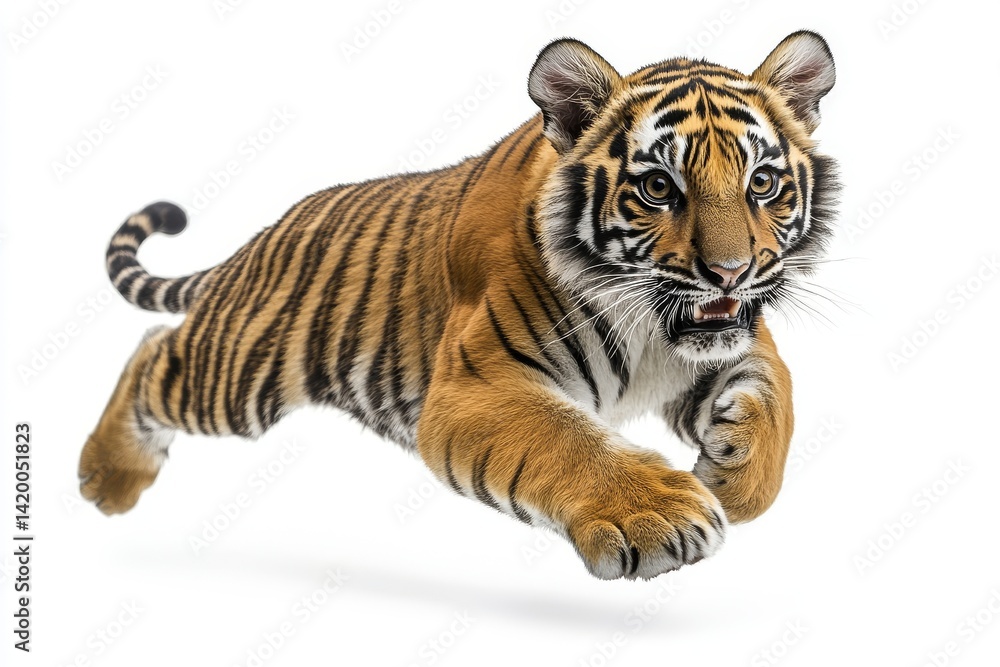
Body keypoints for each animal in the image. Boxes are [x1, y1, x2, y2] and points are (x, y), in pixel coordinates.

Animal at [79, 30, 838, 580]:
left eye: (763, 182)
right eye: (657, 188)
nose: (731, 273)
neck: (651, 326)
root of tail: (264, 233)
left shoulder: (731, 342)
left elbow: (777, 395)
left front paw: (735, 479)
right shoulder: (476, 386)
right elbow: (566, 438)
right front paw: (660, 514)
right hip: (239, 374)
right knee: (153, 351)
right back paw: (106, 478)